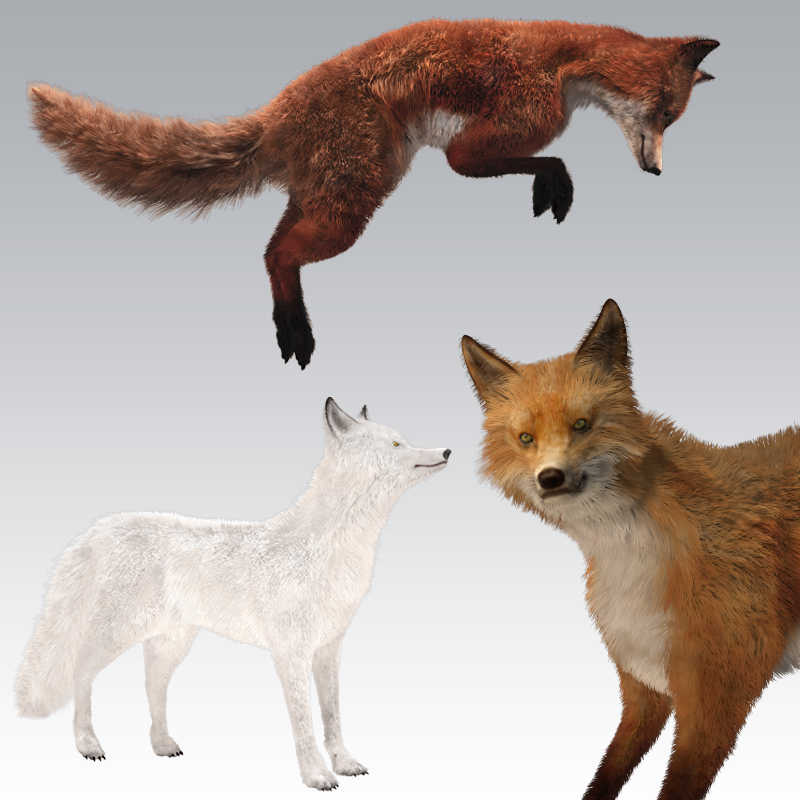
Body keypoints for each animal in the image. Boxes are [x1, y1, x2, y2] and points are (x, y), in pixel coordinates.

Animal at [15, 398, 450, 791]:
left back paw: (162, 744)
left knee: (152, 686)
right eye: (396, 444)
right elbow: (305, 723)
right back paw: (87, 743)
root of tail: (101, 527)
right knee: (80, 673)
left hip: (171, 645)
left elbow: (333, 717)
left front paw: (344, 763)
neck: (329, 549)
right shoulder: (290, 653)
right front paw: (316, 776)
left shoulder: (328, 647)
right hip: (117, 634)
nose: (446, 451)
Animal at [27, 19, 718, 368]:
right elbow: (545, 159)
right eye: (665, 113)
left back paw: (287, 325)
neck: (563, 60)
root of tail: (280, 111)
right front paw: (555, 186)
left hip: (333, 194)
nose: (657, 173)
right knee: (278, 254)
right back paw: (296, 333)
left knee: (269, 248)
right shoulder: (484, 142)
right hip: (352, 207)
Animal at [461, 300, 800, 800]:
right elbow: (607, 773)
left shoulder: (719, 695)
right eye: (526, 438)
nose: (550, 478)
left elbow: (677, 785)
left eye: (582, 425)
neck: (633, 562)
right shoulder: (642, 684)